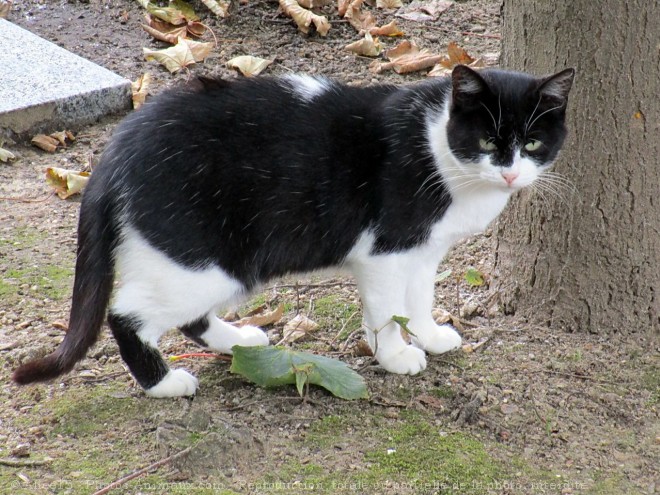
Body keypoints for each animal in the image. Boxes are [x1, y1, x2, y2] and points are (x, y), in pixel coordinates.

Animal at [12, 66, 576, 400]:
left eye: (532, 143)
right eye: (486, 141)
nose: (510, 173)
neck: (440, 146)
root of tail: (116, 148)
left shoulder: (423, 251)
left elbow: (419, 299)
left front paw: (432, 335)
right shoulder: (386, 253)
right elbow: (386, 312)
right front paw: (395, 356)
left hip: (217, 266)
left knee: (186, 317)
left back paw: (237, 338)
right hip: (204, 261)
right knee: (127, 316)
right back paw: (166, 383)